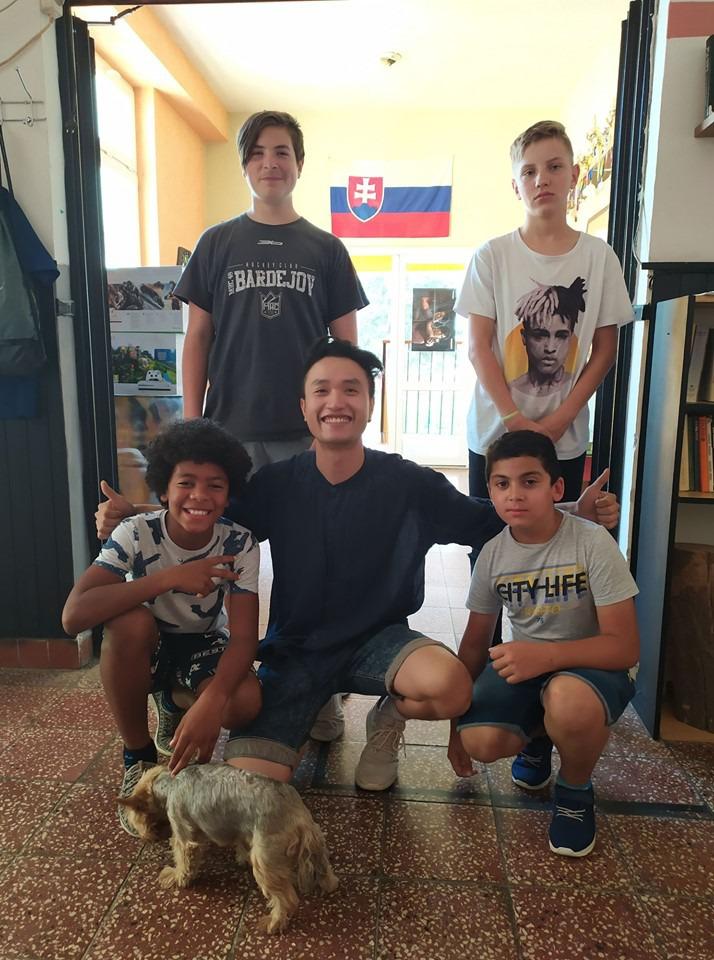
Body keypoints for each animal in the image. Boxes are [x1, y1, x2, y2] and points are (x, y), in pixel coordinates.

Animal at [118, 763, 338, 933]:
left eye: (135, 817)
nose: (145, 837)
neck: (169, 784)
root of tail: (299, 817)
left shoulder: (183, 833)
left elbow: (183, 858)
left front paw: (176, 877)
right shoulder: (238, 828)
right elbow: (239, 843)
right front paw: (241, 857)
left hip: (265, 860)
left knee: (287, 900)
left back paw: (273, 924)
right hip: (313, 841)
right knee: (325, 868)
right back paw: (327, 884)